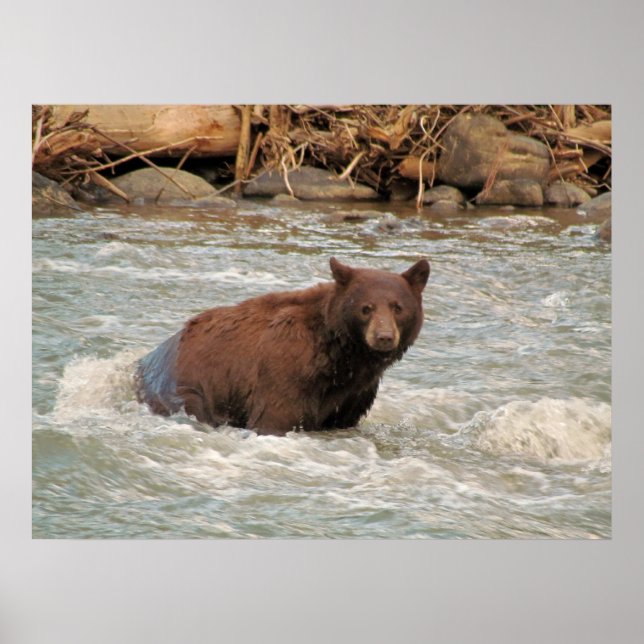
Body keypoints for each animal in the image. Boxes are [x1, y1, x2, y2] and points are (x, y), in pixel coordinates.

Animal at [135, 257, 430, 436]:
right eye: (366, 308)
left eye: (397, 307)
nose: (384, 336)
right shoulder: (285, 372)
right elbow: (276, 417)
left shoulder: (353, 394)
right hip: (188, 388)